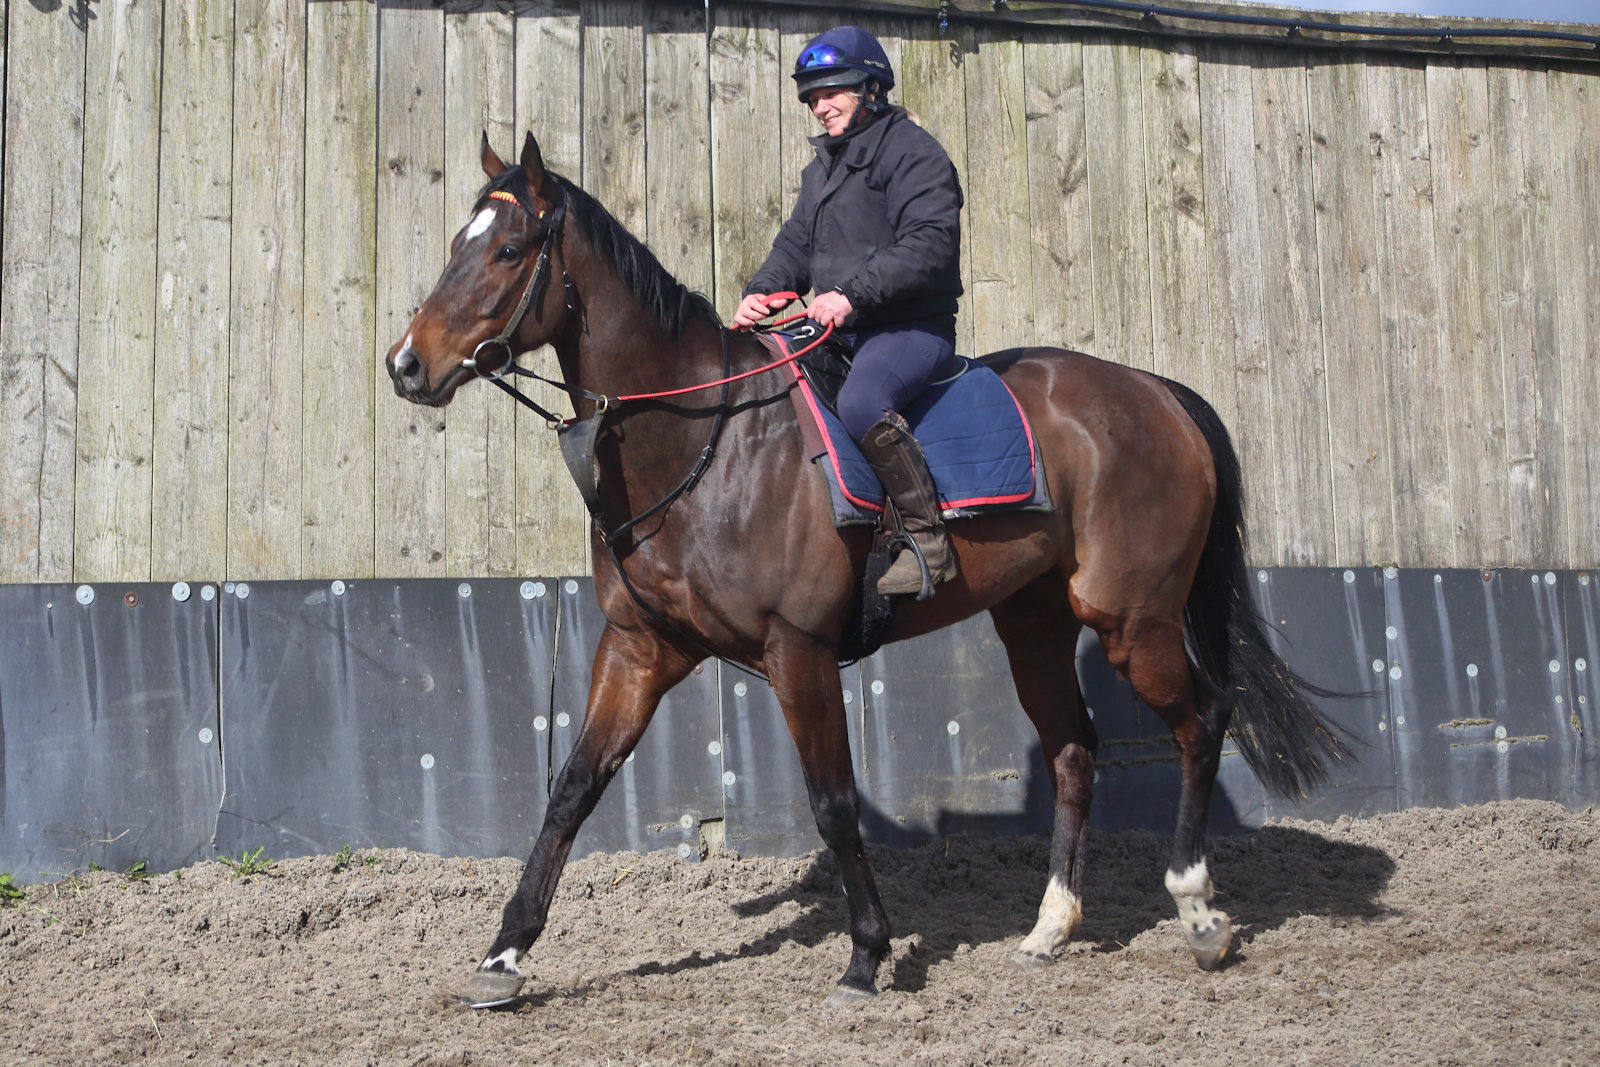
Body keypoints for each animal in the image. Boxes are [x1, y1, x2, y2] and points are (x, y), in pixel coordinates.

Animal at [386, 133, 1347, 1008]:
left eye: (509, 250)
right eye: (458, 242)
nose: (406, 365)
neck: (708, 441)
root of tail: (1156, 393)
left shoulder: (797, 650)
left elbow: (835, 803)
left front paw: (866, 956)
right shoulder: (639, 648)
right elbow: (570, 792)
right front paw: (503, 955)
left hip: (1131, 618)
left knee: (1202, 719)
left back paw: (1199, 911)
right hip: (1035, 622)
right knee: (1076, 747)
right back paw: (1049, 929)